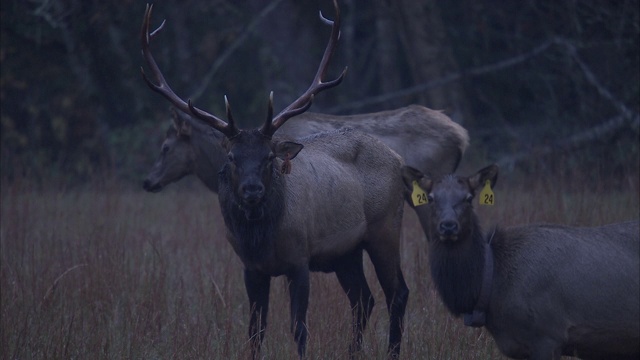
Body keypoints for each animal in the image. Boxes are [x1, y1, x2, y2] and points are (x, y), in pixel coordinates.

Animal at [141, 1, 410, 358]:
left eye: (269, 156)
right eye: (231, 158)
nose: (252, 190)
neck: (262, 239)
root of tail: (398, 159)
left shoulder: (299, 260)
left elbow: (299, 329)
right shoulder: (251, 268)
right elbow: (256, 331)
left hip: (385, 228)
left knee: (398, 294)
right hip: (346, 252)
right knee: (363, 300)